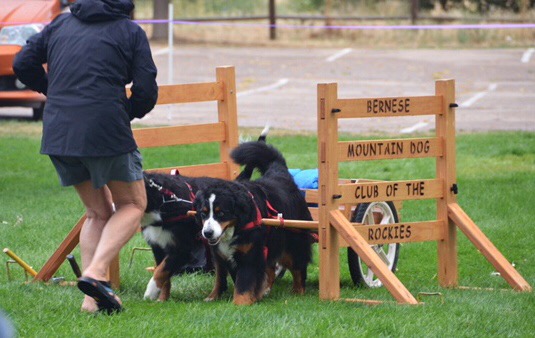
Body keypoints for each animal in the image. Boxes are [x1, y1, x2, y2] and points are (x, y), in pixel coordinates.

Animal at [194, 139, 314, 304]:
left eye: (221, 213)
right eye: (203, 213)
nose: (208, 233)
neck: (235, 228)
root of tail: (280, 173)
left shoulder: (249, 254)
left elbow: (244, 283)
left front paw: (240, 303)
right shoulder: (220, 254)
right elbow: (220, 277)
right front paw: (213, 296)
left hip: (293, 243)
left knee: (298, 267)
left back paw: (297, 292)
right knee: (270, 270)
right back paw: (264, 291)